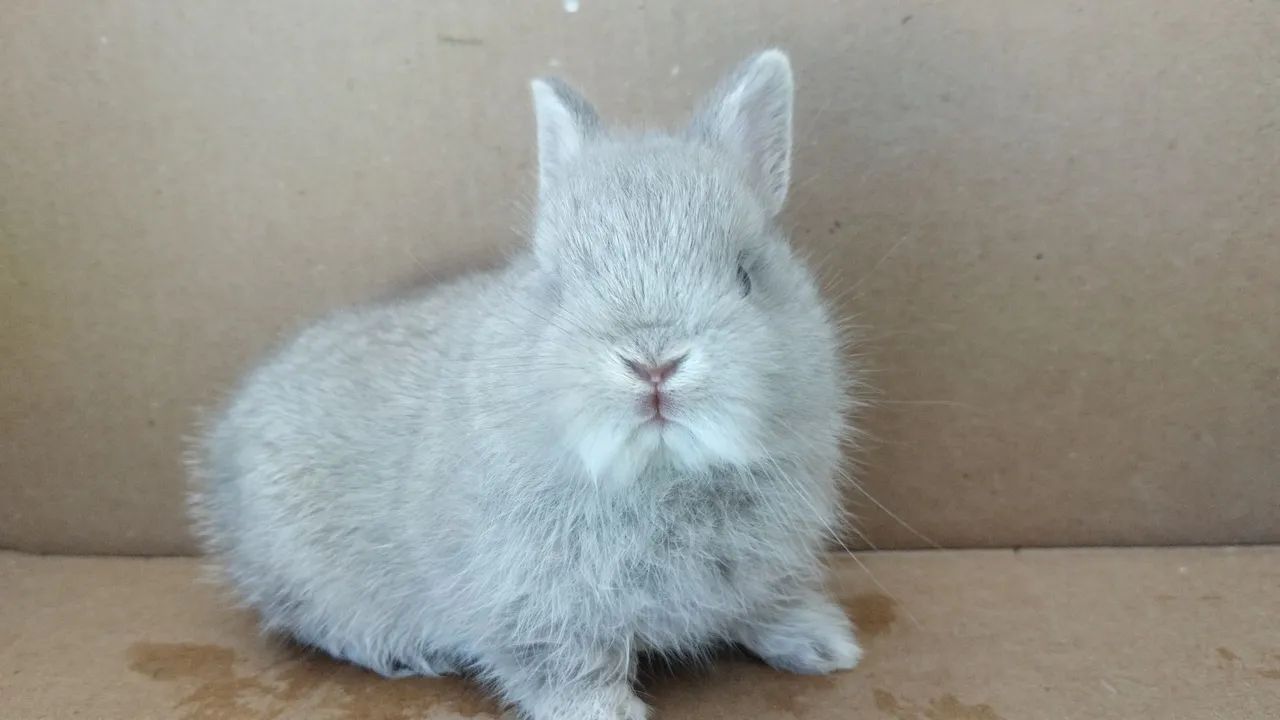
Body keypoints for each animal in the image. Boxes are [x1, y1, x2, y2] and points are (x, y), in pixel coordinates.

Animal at [189, 48, 862, 720]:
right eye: (557, 285)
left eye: (746, 275)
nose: (653, 363)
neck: (659, 471)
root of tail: (223, 441)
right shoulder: (527, 598)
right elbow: (561, 662)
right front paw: (606, 713)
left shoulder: (764, 571)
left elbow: (769, 606)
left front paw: (828, 646)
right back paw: (405, 654)